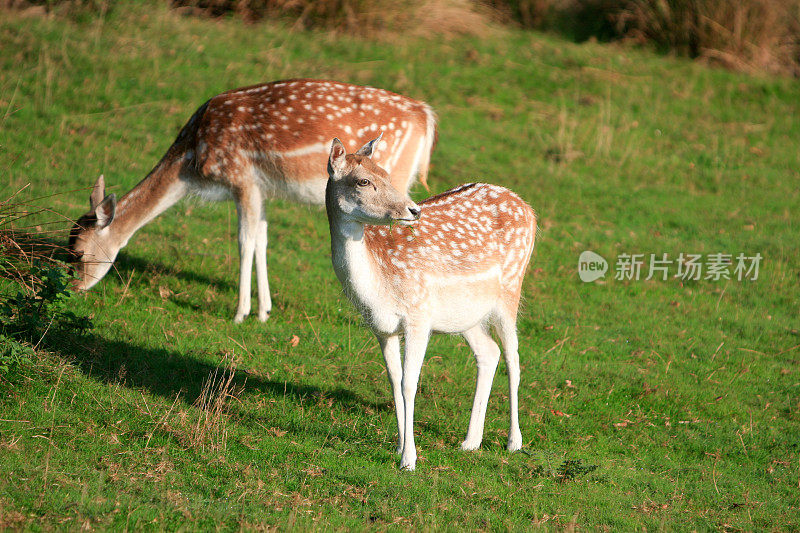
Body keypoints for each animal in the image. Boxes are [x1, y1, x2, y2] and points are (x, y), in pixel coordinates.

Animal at [69, 77, 438, 322]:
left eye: (79, 252)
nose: (74, 287)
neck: (192, 158)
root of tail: (427, 117)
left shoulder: (241, 177)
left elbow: (244, 241)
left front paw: (240, 312)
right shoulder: (262, 188)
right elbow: (261, 238)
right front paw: (264, 310)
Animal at [324, 134, 536, 470]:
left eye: (387, 173)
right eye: (363, 180)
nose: (413, 210)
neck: (378, 287)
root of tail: (527, 208)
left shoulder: (418, 316)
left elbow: (410, 384)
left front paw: (409, 460)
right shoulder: (381, 328)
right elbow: (394, 380)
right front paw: (399, 447)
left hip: (510, 289)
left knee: (513, 358)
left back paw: (514, 442)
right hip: (465, 314)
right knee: (489, 352)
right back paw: (470, 442)